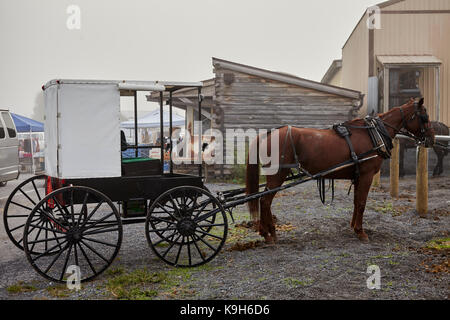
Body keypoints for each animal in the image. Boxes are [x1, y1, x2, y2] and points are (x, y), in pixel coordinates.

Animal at [248, 97, 434, 242]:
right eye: (424, 117)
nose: (431, 139)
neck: (373, 134)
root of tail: (268, 134)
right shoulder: (366, 175)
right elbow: (361, 202)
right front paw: (360, 232)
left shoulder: (358, 176)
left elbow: (356, 202)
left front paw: (354, 227)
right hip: (278, 175)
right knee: (265, 201)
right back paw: (269, 234)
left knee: (264, 200)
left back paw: (267, 231)